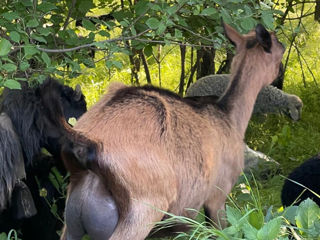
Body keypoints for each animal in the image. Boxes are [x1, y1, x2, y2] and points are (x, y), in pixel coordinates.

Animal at [44, 23, 282, 240]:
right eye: (280, 48)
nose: (280, 76)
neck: (229, 117)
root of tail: (87, 145)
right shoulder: (218, 195)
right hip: (142, 212)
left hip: (72, 221)